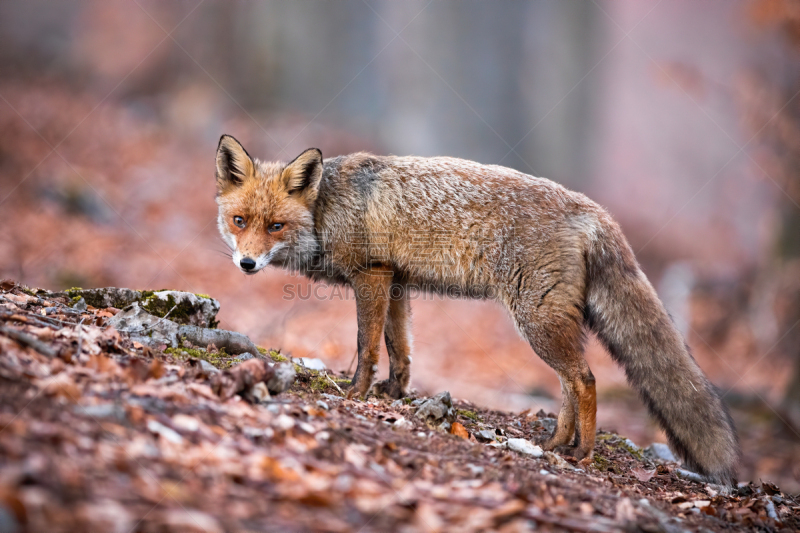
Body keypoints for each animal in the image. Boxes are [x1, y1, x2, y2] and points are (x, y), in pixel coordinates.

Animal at [212, 134, 736, 482]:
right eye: (239, 221)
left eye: (276, 226)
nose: (246, 263)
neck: (326, 209)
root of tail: (593, 210)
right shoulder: (397, 283)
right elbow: (400, 349)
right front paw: (393, 395)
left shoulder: (372, 274)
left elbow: (366, 345)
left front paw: (355, 393)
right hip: (548, 323)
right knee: (570, 383)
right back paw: (554, 443)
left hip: (536, 320)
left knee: (585, 381)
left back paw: (582, 453)